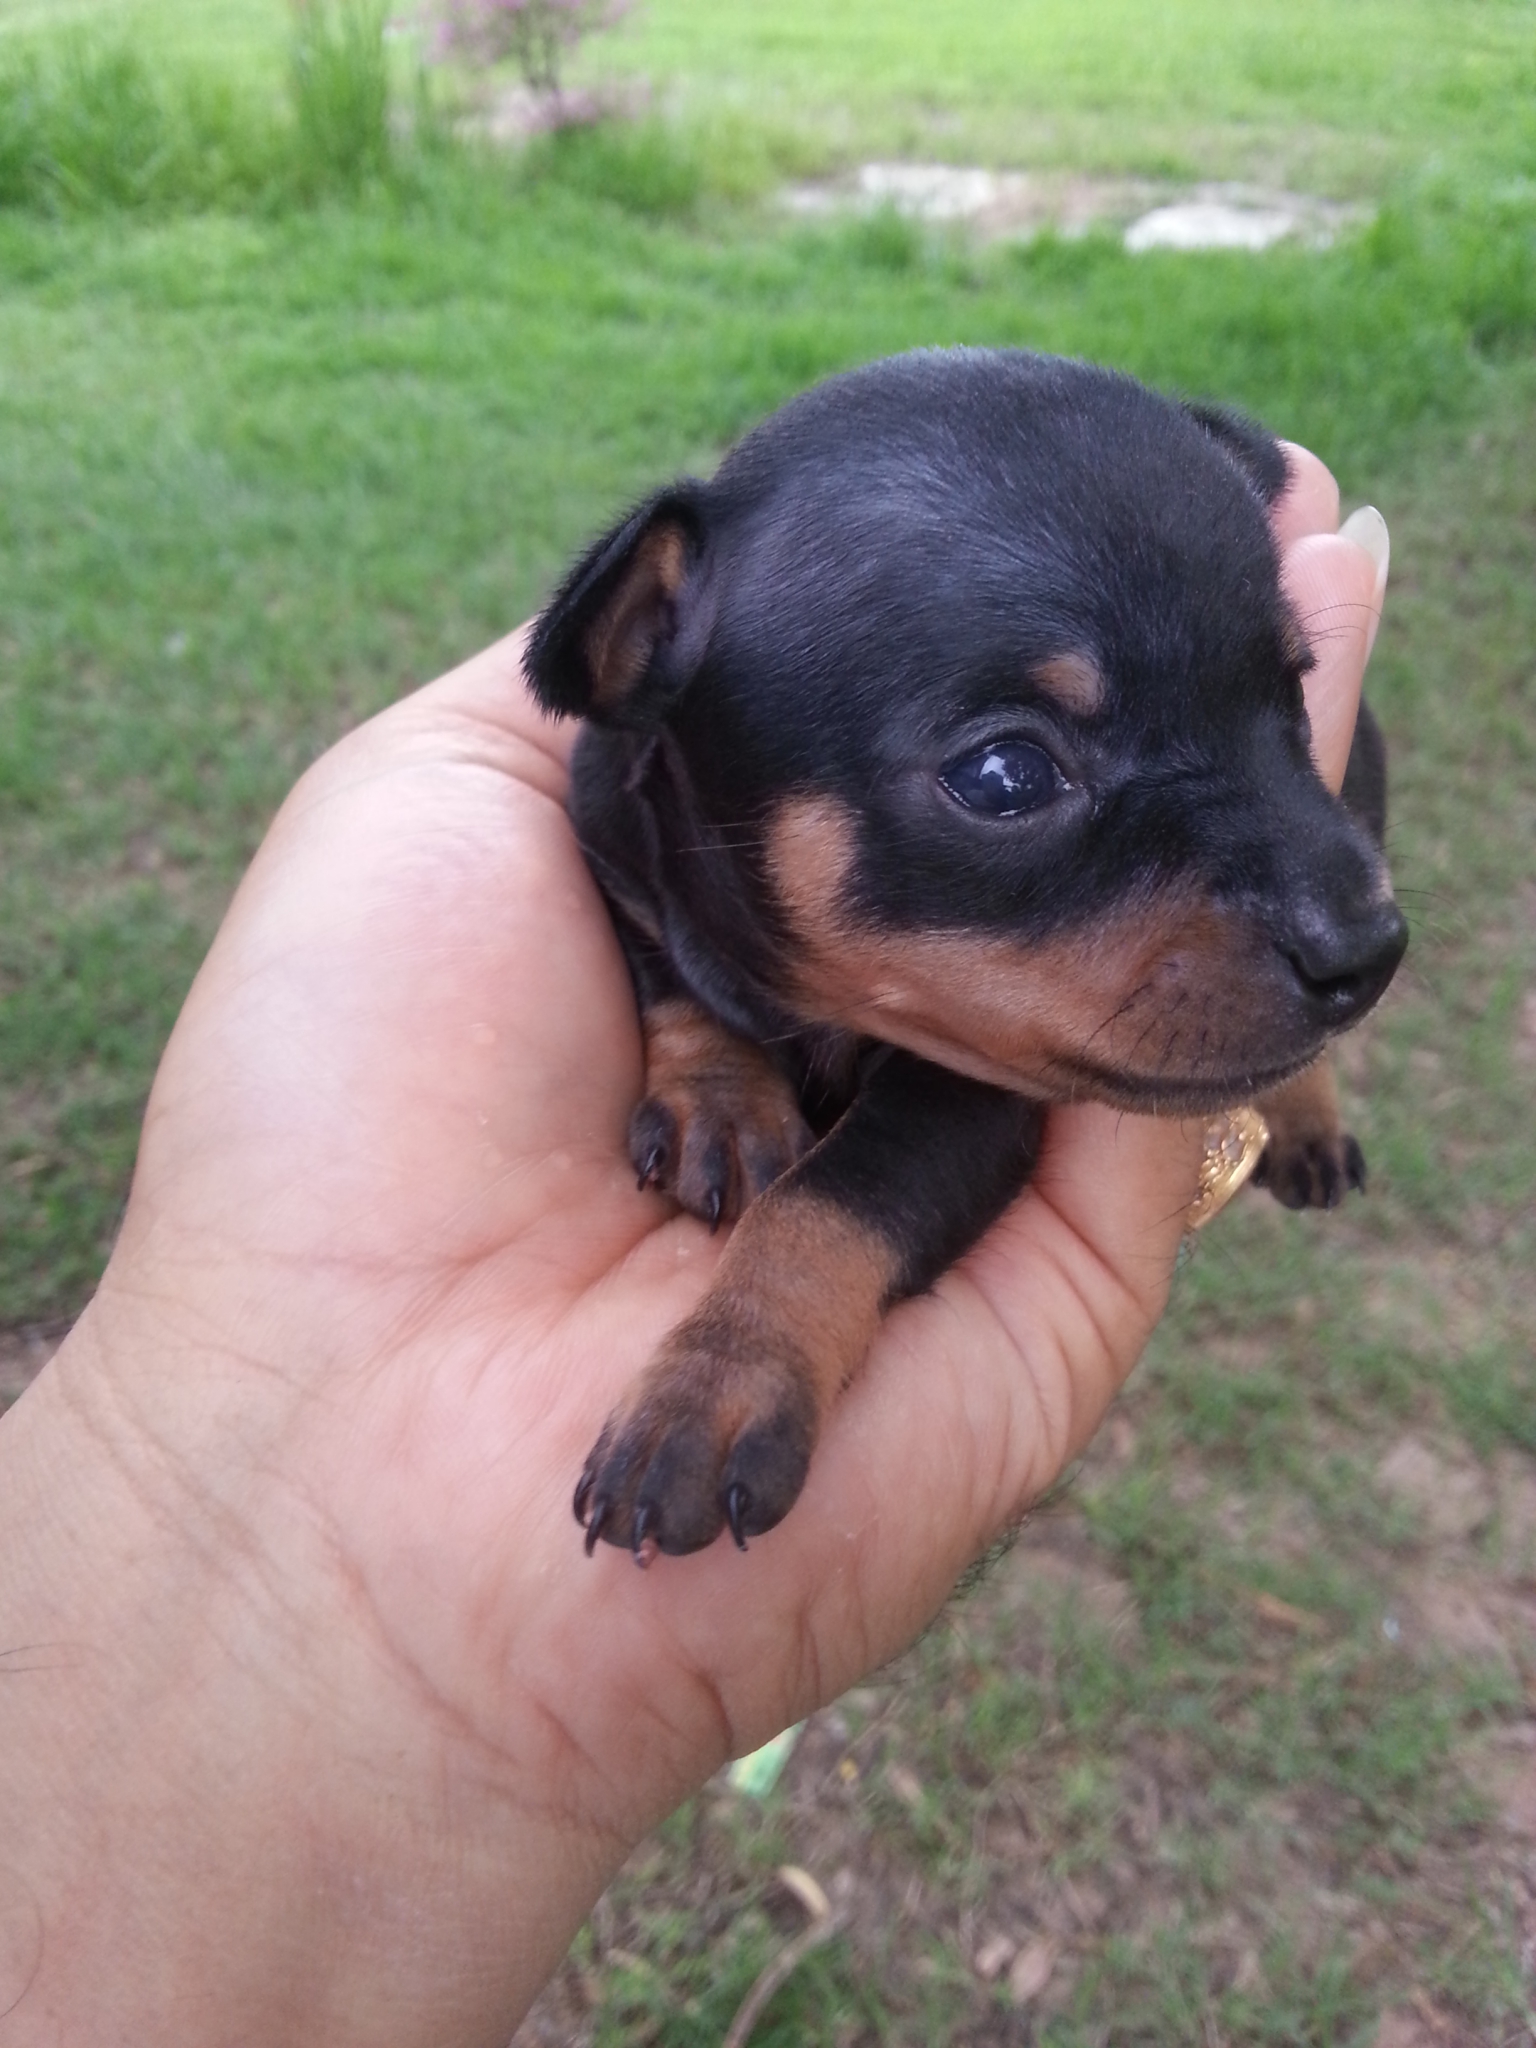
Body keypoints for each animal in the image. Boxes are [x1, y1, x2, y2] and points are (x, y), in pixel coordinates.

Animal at [524, 348, 1407, 1564]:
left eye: (1297, 703)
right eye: (1005, 776)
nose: (1370, 952)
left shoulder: (976, 1081)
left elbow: (836, 1198)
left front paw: (720, 1375)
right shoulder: (611, 840)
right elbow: (672, 971)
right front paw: (720, 1096)